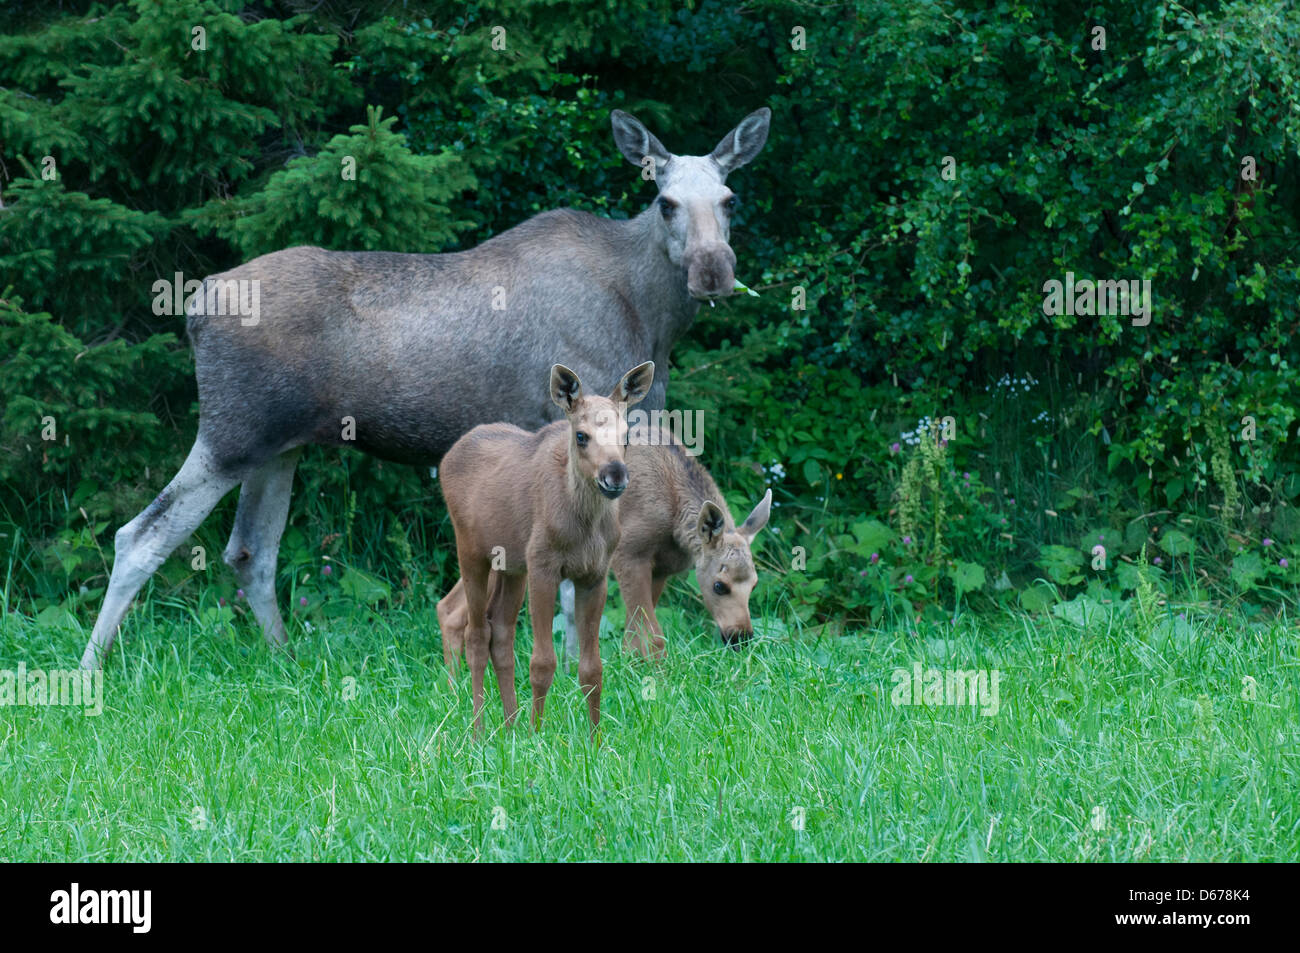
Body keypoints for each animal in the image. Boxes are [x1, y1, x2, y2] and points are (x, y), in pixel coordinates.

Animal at [441, 423, 774, 660]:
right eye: (719, 585)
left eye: (755, 584)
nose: (741, 636)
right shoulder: (629, 553)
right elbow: (651, 636)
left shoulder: (660, 569)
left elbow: (633, 636)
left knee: (450, 608)